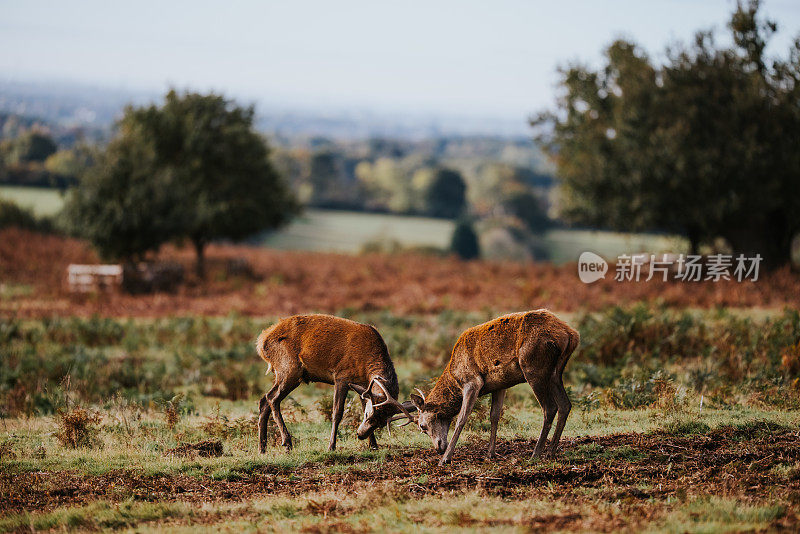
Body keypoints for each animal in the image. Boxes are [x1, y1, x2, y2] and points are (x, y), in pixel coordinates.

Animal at [256, 316, 416, 454]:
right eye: (368, 415)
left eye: (381, 423)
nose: (360, 435)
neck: (366, 363)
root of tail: (261, 341)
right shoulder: (341, 376)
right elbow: (337, 412)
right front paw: (331, 446)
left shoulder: (364, 386)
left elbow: (362, 404)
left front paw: (373, 446)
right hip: (289, 368)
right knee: (272, 398)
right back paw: (287, 442)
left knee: (264, 400)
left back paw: (262, 448)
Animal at [404, 312, 580, 466]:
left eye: (422, 426)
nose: (439, 449)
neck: (455, 376)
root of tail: (571, 335)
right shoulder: (500, 384)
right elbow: (494, 416)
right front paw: (490, 453)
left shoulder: (472, 382)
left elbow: (462, 418)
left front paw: (445, 459)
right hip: (555, 372)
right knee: (565, 405)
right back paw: (551, 451)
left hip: (533, 367)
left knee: (549, 408)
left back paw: (535, 454)